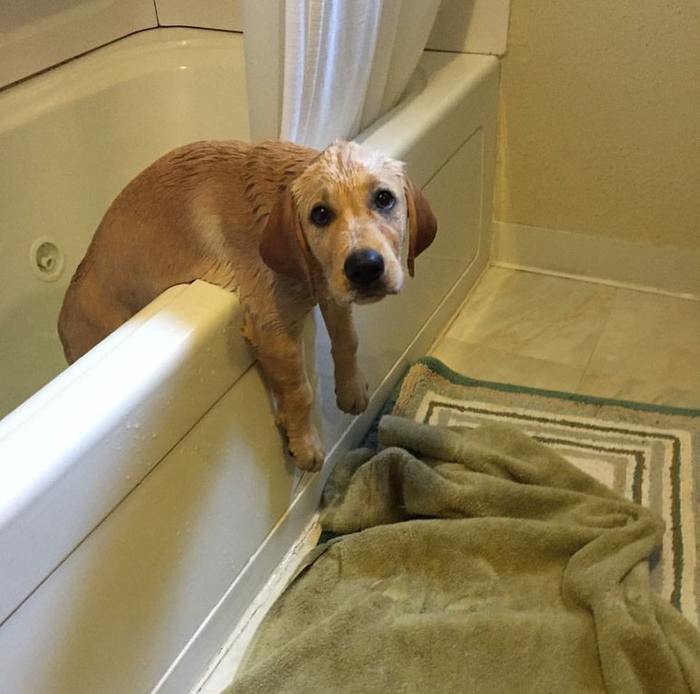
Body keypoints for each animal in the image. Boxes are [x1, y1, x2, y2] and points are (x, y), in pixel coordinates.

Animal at [58, 139, 438, 470]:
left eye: (384, 198)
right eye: (320, 214)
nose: (364, 267)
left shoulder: (330, 287)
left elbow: (347, 340)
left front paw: (351, 389)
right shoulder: (273, 330)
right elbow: (300, 391)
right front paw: (305, 444)